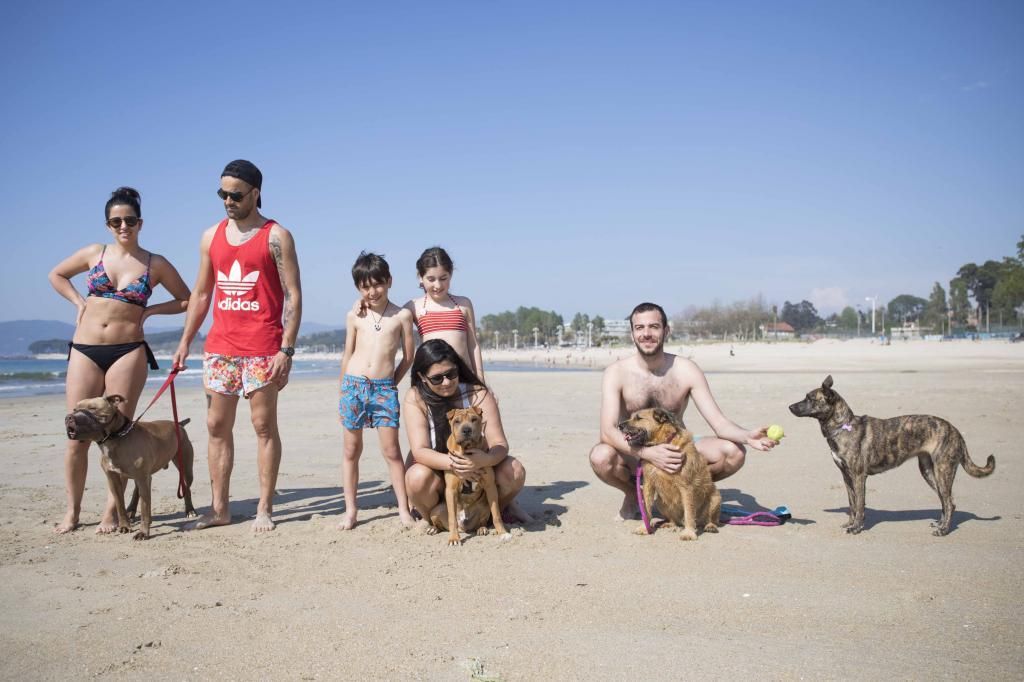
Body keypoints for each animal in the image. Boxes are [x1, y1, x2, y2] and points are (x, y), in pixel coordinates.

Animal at [428, 405, 512, 544]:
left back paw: (482, 529)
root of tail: (464, 527)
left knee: (482, 521)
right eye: (457, 421)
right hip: (436, 510)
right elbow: (452, 519)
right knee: (442, 523)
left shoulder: (490, 486)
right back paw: (433, 529)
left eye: (474, 419)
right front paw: (454, 538)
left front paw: (503, 532)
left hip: (484, 507)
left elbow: (496, 514)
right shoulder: (451, 489)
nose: (466, 430)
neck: (467, 452)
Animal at [614, 405, 720, 540]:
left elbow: (689, 512)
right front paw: (644, 528)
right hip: (660, 502)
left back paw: (710, 526)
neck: (662, 442)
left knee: (711, 519)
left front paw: (689, 533)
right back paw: (670, 524)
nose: (619, 426)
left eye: (638, 418)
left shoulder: (686, 487)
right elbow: (646, 509)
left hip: (715, 498)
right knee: (674, 519)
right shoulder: (649, 484)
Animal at [786, 374, 995, 532]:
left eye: (810, 398)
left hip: (942, 471)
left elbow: (859, 504)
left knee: (949, 502)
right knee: (945, 501)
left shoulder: (858, 476)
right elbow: (852, 504)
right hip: (929, 472)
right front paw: (850, 523)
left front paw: (857, 528)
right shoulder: (846, 476)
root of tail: (956, 431)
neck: (843, 426)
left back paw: (943, 530)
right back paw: (941, 524)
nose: (790, 407)